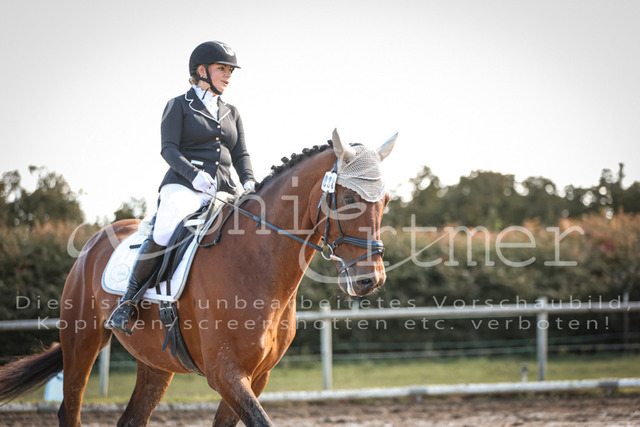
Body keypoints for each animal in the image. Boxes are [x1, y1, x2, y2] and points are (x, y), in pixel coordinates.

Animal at [0, 129, 397, 426]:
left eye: (387, 201)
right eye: (347, 198)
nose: (370, 280)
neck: (255, 263)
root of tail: (95, 240)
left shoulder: (256, 377)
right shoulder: (226, 374)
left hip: (154, 363)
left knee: (132, 418)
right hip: (81, 342)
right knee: (71, 410)